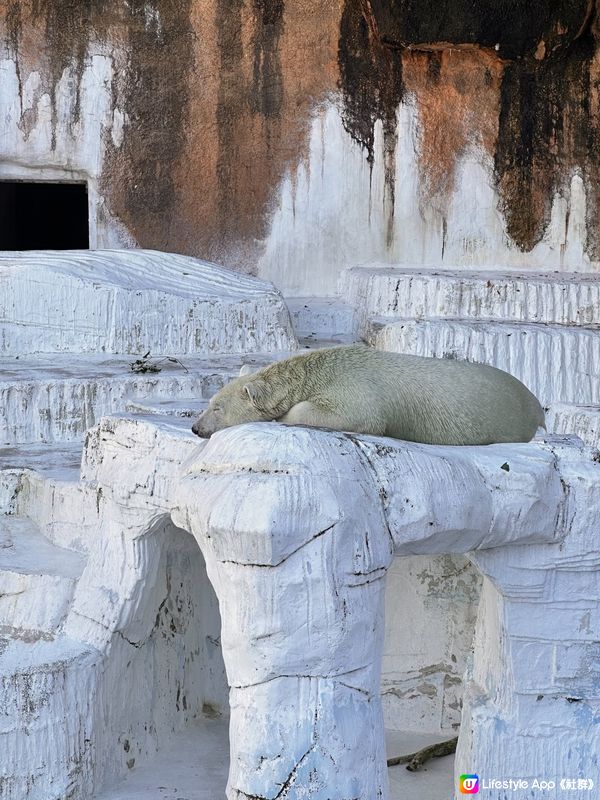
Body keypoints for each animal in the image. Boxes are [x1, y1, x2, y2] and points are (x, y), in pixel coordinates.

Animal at [191, 344, 544, 444]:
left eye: (217, 407)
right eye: (207, 404)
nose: (196, 428)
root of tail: (536, 404)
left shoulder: (354, 388)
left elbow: (355, 415)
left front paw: (283, 417)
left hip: (507, 419)